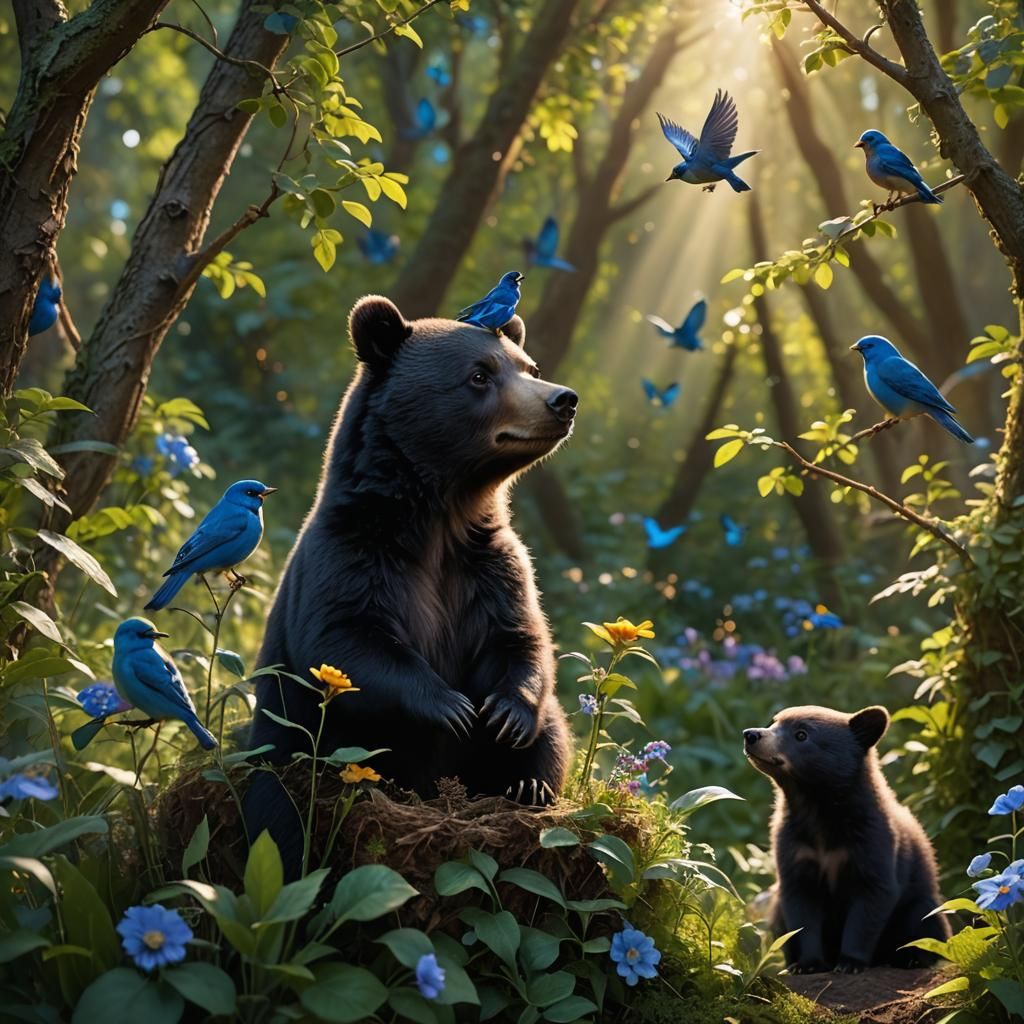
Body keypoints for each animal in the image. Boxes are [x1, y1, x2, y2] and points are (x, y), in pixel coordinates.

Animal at [244, 295, 576, 868]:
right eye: (479, 375)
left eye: (528, 367)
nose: (563, 399)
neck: (439, 517)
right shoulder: (353, 554)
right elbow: (344, 641)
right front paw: (452, 708)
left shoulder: (490, 565)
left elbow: (521, 637)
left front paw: (503, 715)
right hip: (286, 743)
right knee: (277, 817)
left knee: (551, 734)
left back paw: (527, 788)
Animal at [743, 705, 950, 974]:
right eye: (774, 722)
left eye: (801, 734)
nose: (750, 735)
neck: (817, 808)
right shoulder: (795, 845)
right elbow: (801, 908)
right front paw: (807, 964)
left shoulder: (872, 841)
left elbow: (870, 901)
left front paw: (850, 962)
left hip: (920, 903)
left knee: (924, 923)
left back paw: (909, 959)